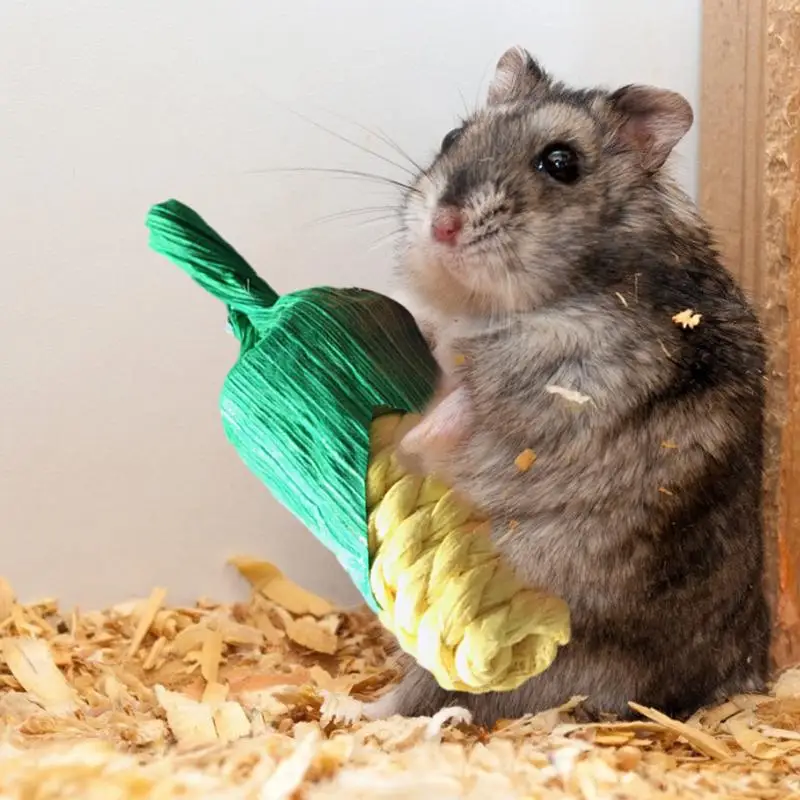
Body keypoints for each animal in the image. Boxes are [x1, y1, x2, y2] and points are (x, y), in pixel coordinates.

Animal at [367, 47, 770, 727]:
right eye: (452, 137)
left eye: (561, 163)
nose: (443, 226)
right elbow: (435, 338)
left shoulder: (573, 373)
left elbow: (475, 390)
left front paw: (408, 436)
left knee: (427, 695)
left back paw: (349, 707)